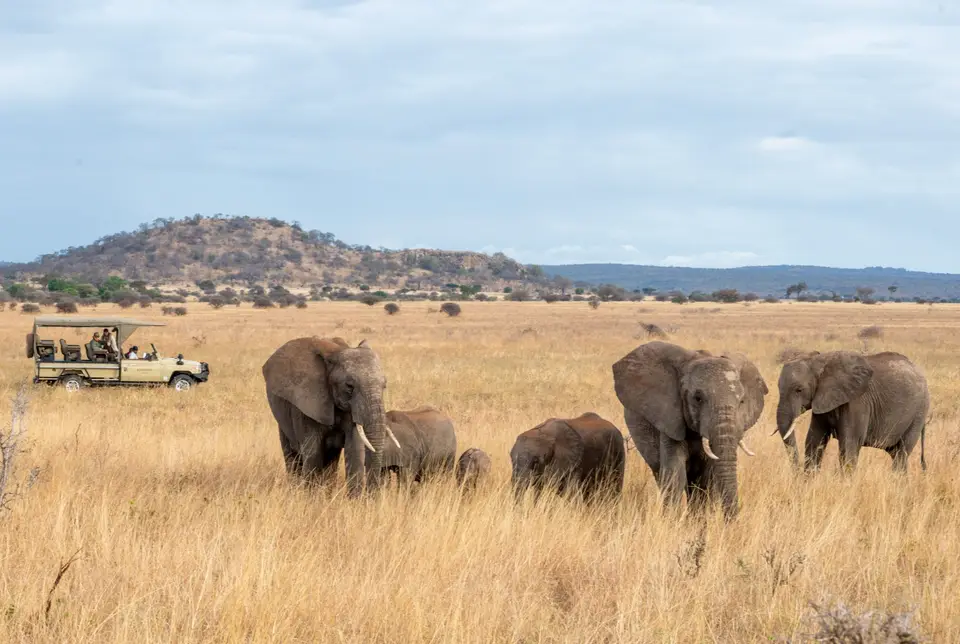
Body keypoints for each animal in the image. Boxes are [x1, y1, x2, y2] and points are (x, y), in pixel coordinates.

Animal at [261, 336, 401, 497]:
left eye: (384, 386)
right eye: (349, 386)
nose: (373, 496)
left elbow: (354, 448)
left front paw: (355, 501)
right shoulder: (306, 405)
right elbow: (313, 451)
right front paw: (311, 498)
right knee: (292, 454)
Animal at [612, 341, 768, 519]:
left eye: (741, 401)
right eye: (698, 399)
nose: (732, 521)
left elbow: (707, 479)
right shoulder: (670, 420)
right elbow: (675, 473)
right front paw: (672, 521)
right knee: (661, 474)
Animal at [774, 350, 929, 473]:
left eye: (799, 390)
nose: (797, 472)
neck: (822, 361)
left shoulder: (857, 402)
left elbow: (849, 444)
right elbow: (814, 440)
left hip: (919, 413)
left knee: (901, 454)